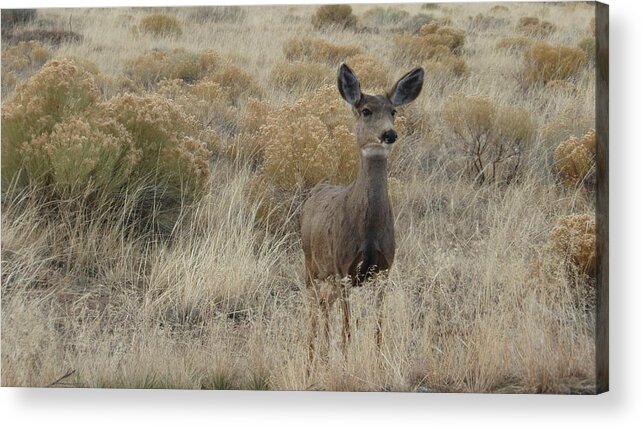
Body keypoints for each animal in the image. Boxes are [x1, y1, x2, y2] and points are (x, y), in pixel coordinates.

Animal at [302, 61, 424, 366]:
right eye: (366, 110)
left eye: (393, 111)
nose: (389, 134)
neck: (368, 232)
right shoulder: (344, 267)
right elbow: (347, 328)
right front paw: (345, 364)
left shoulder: (384, 269)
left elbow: (378, 327)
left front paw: (378, 363)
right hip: (311, 265)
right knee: (312, 307)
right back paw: (311, 360)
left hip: (329, 276)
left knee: (324, 304)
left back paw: (323, 356)